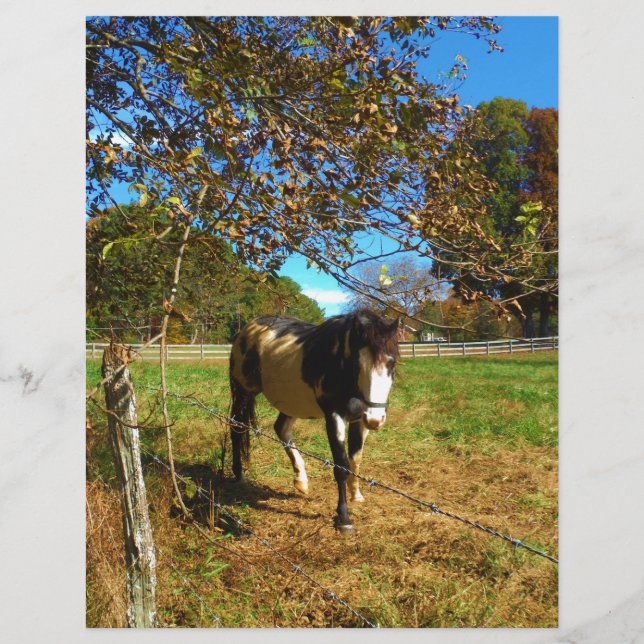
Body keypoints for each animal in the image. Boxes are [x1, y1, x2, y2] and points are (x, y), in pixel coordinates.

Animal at [228, 309, 400, 532]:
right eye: (357, 363)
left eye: (392, 363)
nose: (375, 419)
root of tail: (249, 328)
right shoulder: (334, 417)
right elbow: (341, 467)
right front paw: (343, 518)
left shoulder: (359, 420)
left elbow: (355, 459)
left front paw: (357, 494)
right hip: (243, 392)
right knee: (236, 429)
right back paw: (239, 475)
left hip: (291, 402)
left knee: (281, 429)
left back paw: (301, 481)